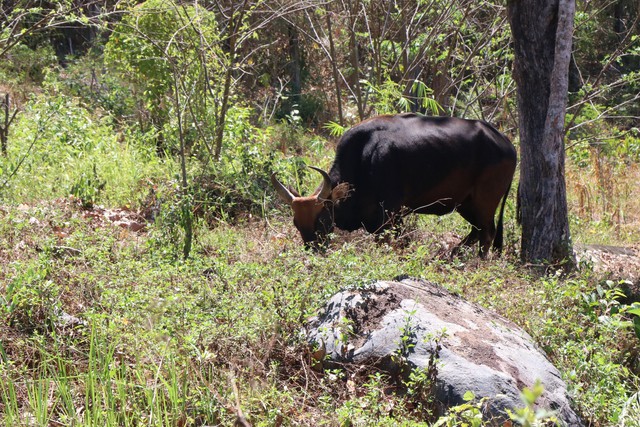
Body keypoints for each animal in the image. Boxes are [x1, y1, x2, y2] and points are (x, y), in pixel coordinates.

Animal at [272, 112, 516, 256]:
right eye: (296, 223)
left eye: (322, 220)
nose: (313, 252)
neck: (365, 156)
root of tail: (506, 144)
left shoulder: (390, 215)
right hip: (466, 204)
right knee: (476, 231)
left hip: (484, 203)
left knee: (487, 234)